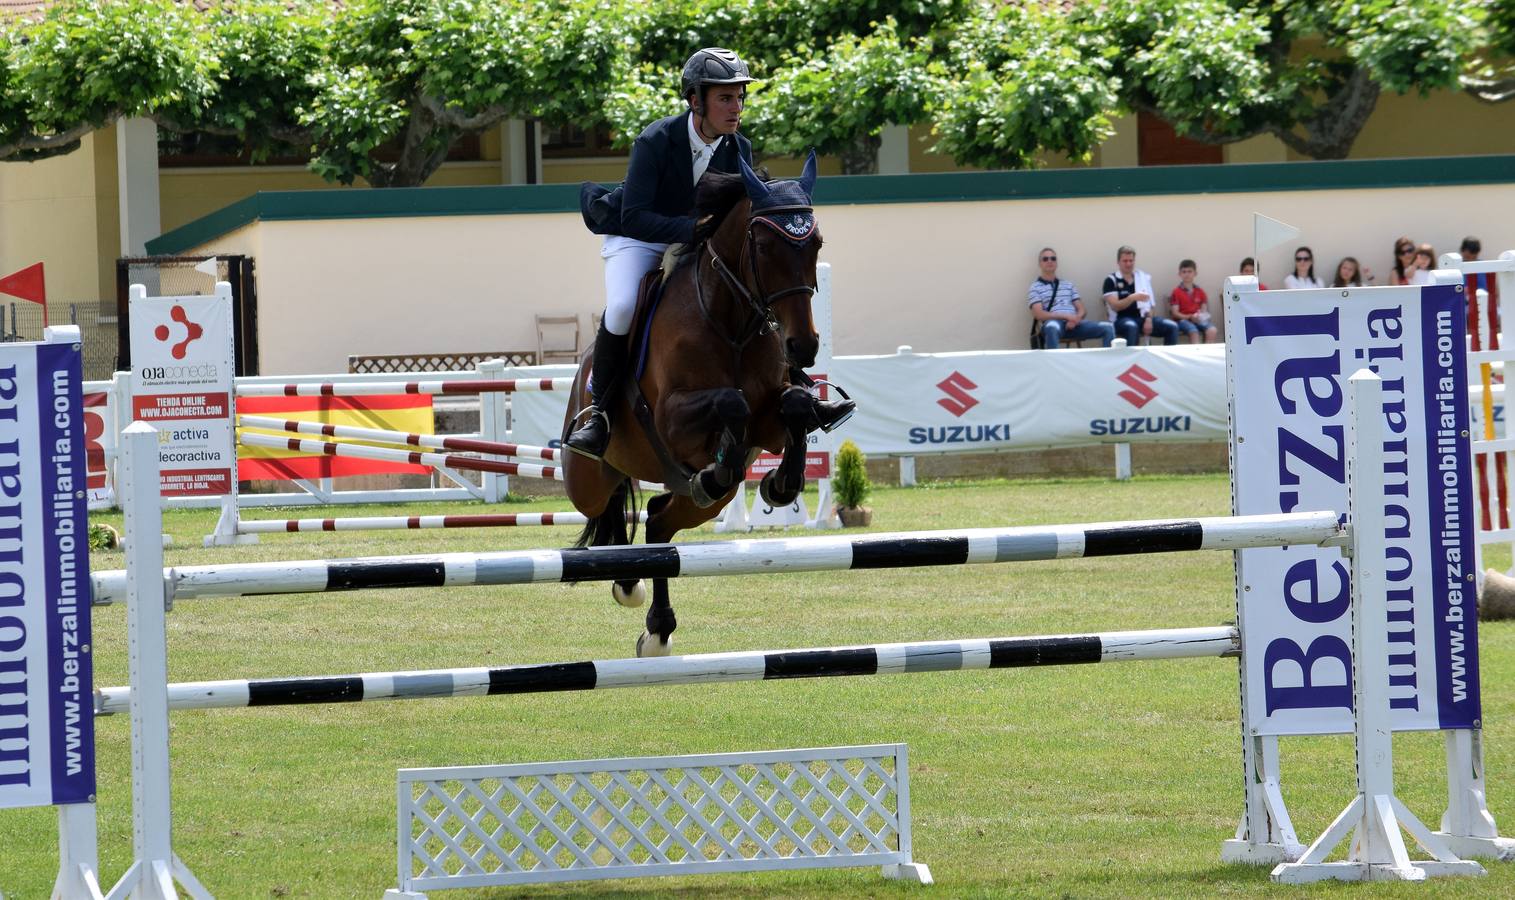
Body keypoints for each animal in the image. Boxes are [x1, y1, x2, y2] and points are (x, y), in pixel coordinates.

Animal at [566, 150, 824, 654]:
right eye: (765, 248)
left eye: (817, 245)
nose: (802, 348)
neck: (733, 323)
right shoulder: (671, 417)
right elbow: (731, 402)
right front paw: (722, 464)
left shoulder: (769, 417)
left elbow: (795, 405)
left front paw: (779, 485)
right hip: (585, 480)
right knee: (606, 505)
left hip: (700, 505)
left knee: (658, 522)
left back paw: (653, 619)